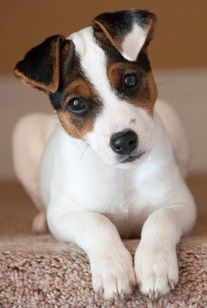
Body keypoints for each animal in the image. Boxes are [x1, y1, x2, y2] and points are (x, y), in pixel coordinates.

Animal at [12, 9, 196, 298]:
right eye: (76, 103)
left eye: (130, 80)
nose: (124, 141)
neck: (122, 174)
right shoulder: (66, 214)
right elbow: (98, 224)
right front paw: (114, 271)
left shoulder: (182, 204)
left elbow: (160, 218)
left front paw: (154, 265)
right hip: (24, 130)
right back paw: (39, 222)